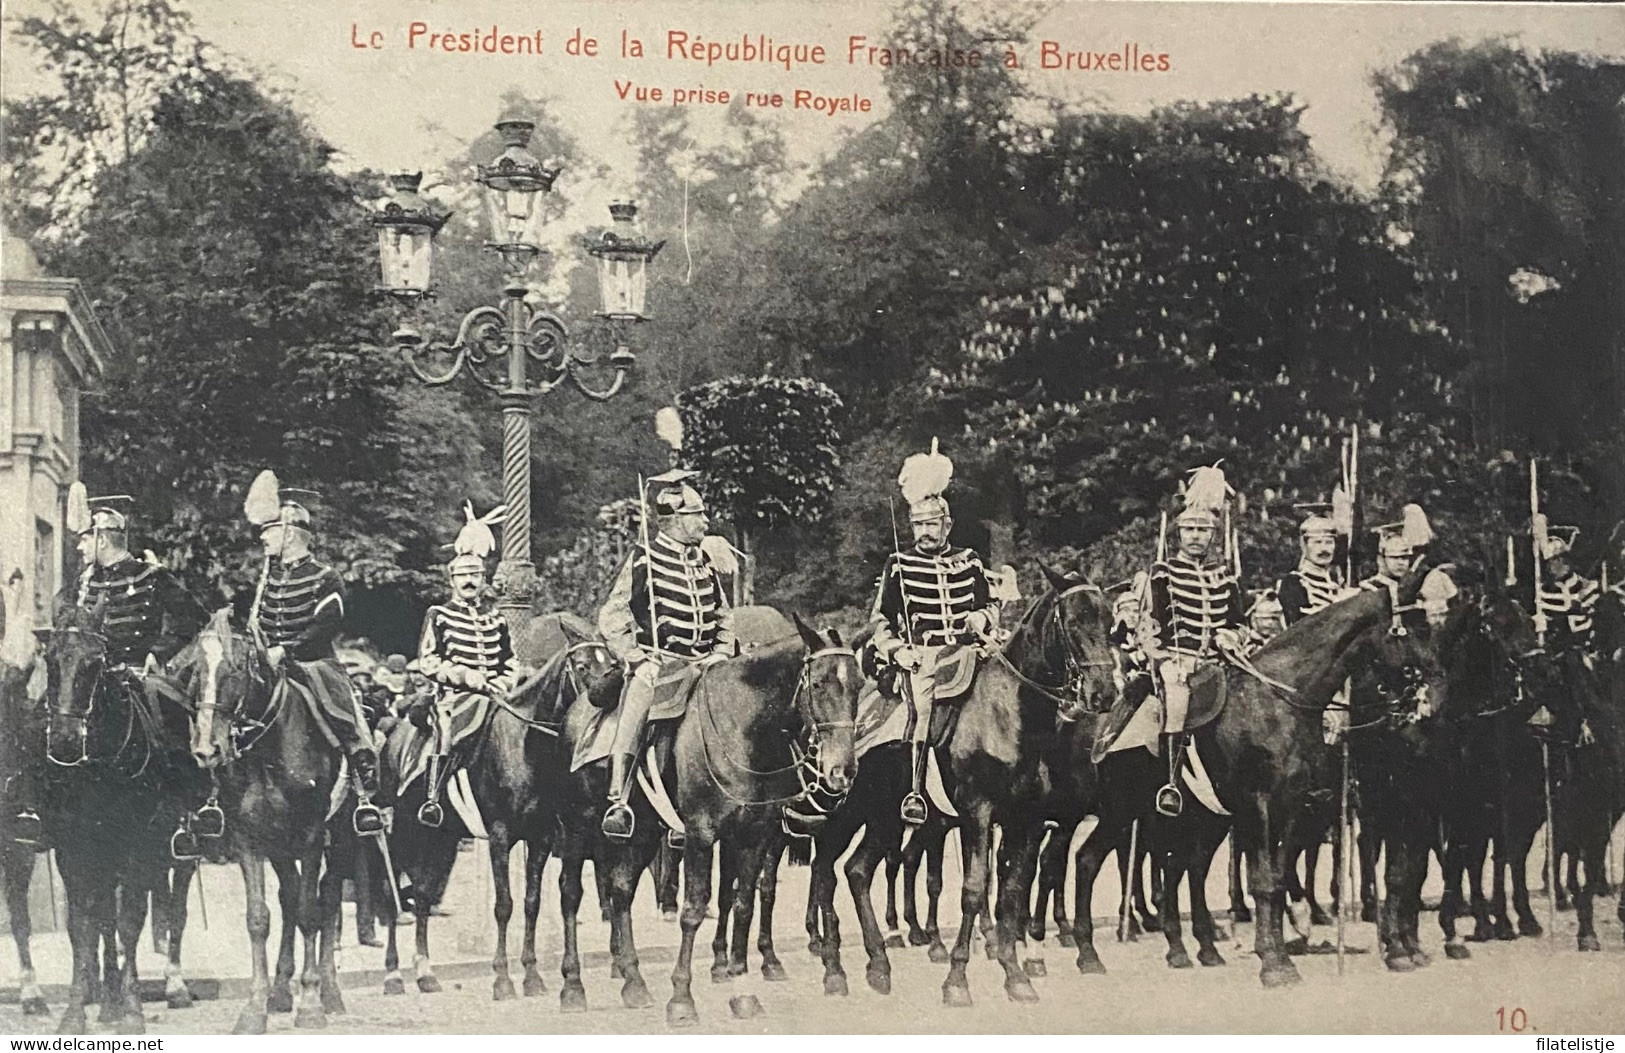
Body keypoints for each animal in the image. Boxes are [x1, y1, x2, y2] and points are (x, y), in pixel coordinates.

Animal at [40, 598, 202, 1033]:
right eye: (50, 659)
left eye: (95, 662)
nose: (65, 741)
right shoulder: (73, 851)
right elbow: (85, 925)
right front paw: (77, 1013)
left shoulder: (137, 848)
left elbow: (130, 922)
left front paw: (131, 1010)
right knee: (104, 920)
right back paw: (108, 1001)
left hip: (177, 851)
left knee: (173, 910)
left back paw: (172, 986)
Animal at [190, 607, 355, 1027]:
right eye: (197, 671)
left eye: (234, 670)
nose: (207, 749)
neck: (269, 748)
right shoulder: (248, 839)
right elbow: (258, 917)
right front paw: (255, 1006)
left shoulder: (312, 835)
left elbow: (312, 913)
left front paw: (311, 1003)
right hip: (280, 846)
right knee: (290, 896)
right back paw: (281, 990)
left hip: (341, 838)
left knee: (327, 897)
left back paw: (330, 992)